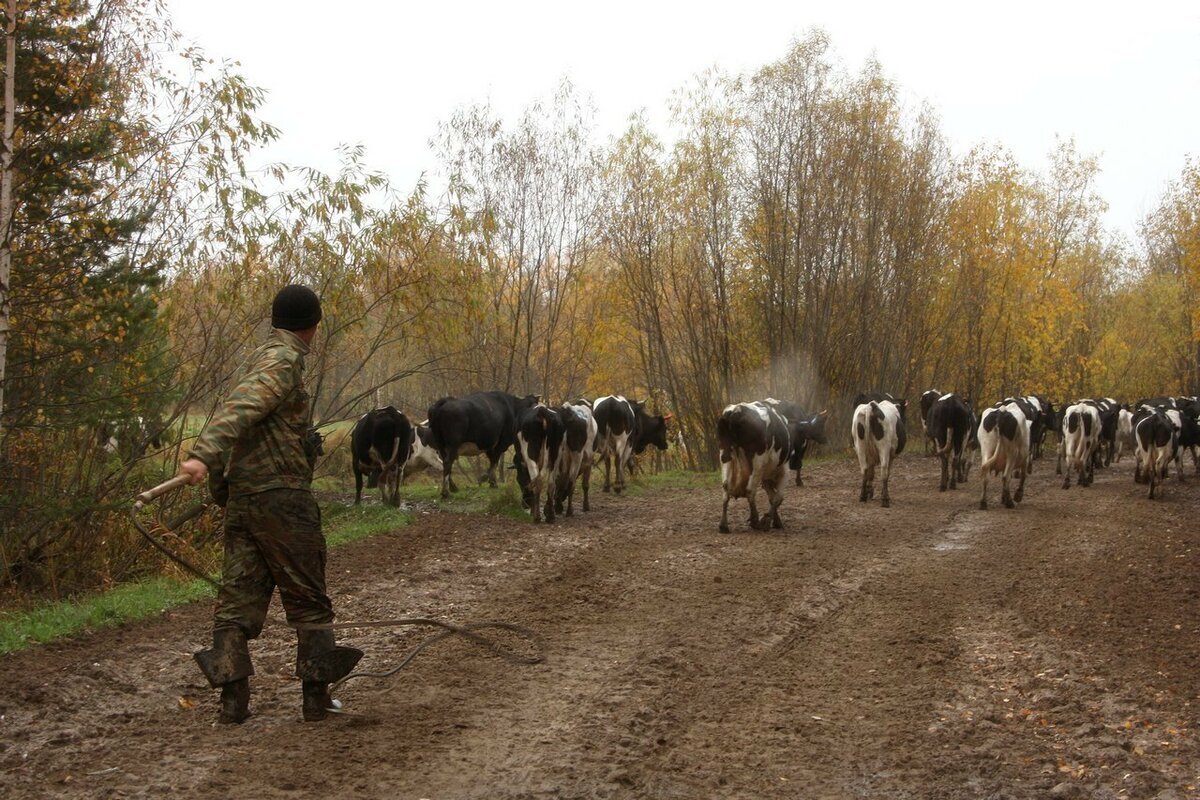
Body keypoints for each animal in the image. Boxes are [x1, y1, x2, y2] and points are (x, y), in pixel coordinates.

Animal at [715, 402, 792, 534]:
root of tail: (737, 410)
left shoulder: (765, 477)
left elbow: (772, 497)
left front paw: (775, 521)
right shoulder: (784, 470)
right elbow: (778, 498)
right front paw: (767, 520)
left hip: (725, 456)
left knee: (725, 489)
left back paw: (723, 525)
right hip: (757, 462)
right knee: (750, 490)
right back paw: (755, 520)